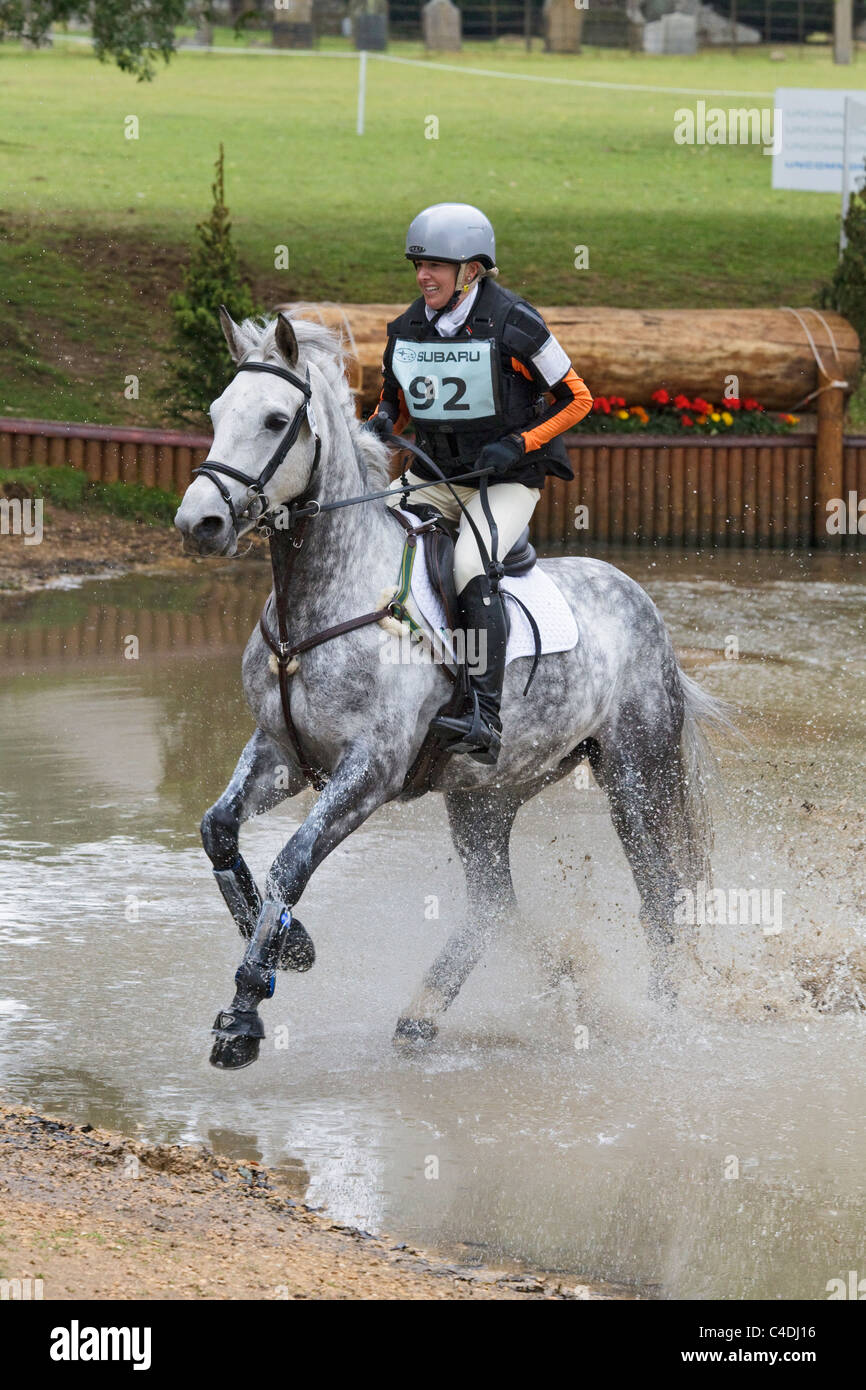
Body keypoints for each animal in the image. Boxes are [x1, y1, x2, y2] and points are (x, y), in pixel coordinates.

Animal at [174, 308, 727, 1070]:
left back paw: (659, 1014)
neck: (317, 600)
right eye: (217, 412)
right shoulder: (281, 753)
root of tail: (639, 599)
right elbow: (218, 831)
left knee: (659, 892)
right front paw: (295, 945)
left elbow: (291, 863)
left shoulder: (370, 771)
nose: (199, 523)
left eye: (276, 419)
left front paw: (244, 1013)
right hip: (486, 796)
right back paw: (444, 1008)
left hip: (634, 775)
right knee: (495, 903)